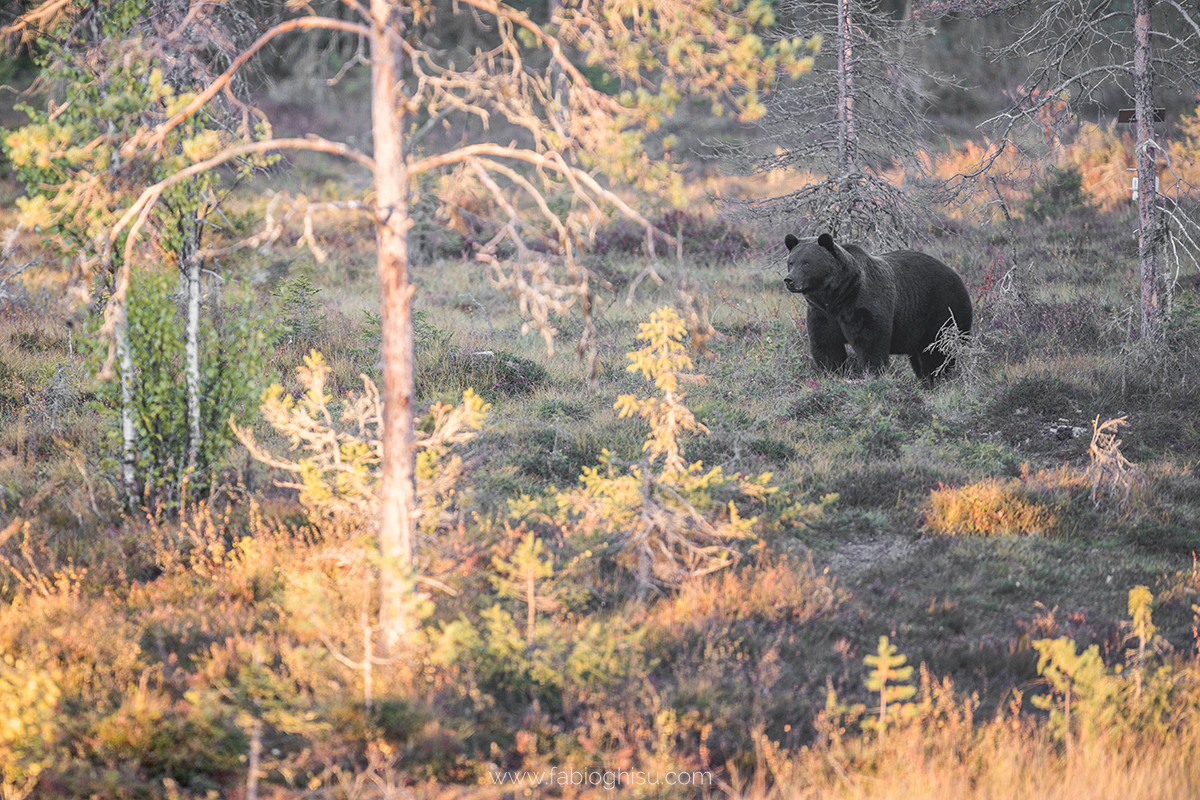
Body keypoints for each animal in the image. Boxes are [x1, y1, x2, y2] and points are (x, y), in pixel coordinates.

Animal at [782, 232, 969, 386]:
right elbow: (826, 346)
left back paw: (937, 381)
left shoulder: (864, 305)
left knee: (938, 352)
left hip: (943, 309)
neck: (837, 296)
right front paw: (832, 374)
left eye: (806, 263)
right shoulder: (822, 314)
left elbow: (870, 343)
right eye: (791, 262)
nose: (789, 280)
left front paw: (873, 374)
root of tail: (958, 276)